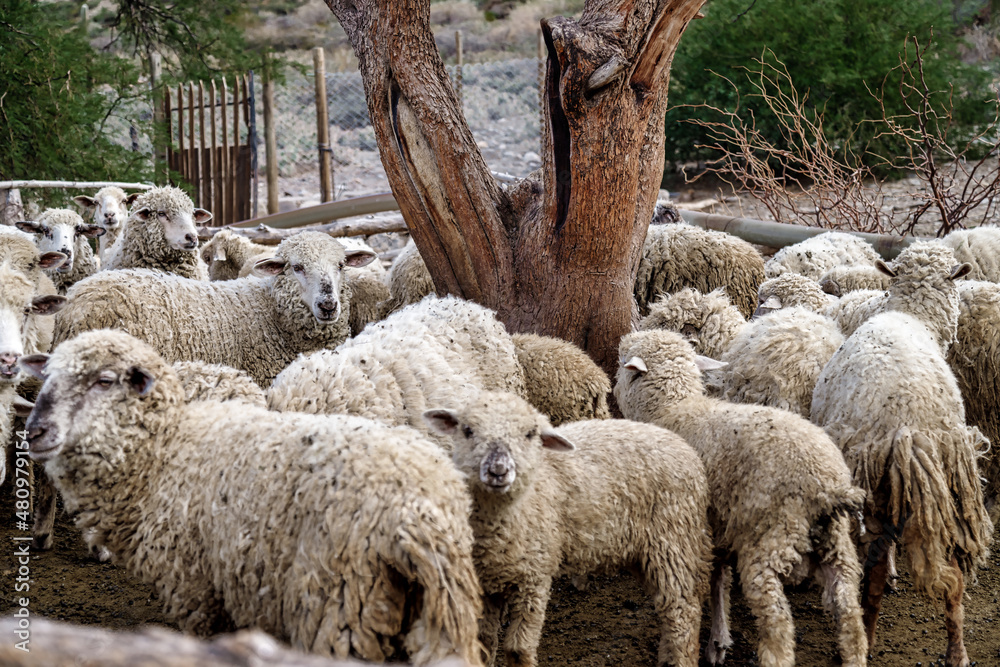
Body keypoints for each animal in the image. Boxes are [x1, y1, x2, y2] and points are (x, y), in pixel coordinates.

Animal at [20, 330, 484, 666]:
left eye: (103, 381)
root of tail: (416, 512)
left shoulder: (197, 589)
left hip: (338, 603)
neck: (165, 453)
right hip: (437, 606)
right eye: (47, 377)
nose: (35, 430)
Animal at [423, 390, 712, 667]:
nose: (498, 470)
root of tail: (684, 447)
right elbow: (484, 644)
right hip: (644, 552)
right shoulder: (486, 585)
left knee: (682, 612)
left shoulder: (535, 577)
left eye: (530, 434)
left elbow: (518, 650)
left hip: (672, 539)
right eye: (467, 430)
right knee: (667, 608)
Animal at [615, 329, 867, 667]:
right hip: (837, 545)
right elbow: (718, 580)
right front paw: (719, 640)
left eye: (621, 363)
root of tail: (829, 486)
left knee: (778, 627)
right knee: (850, 614)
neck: (675, 408)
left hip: (769, 539)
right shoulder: (718, 525)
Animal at [811, 241, 993, 667]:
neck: (911, 315)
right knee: (954, 578)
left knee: (877, 568)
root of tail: (907, 429)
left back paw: (869, 634)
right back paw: (957, 651)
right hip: (949, 482)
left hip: (886, 484)